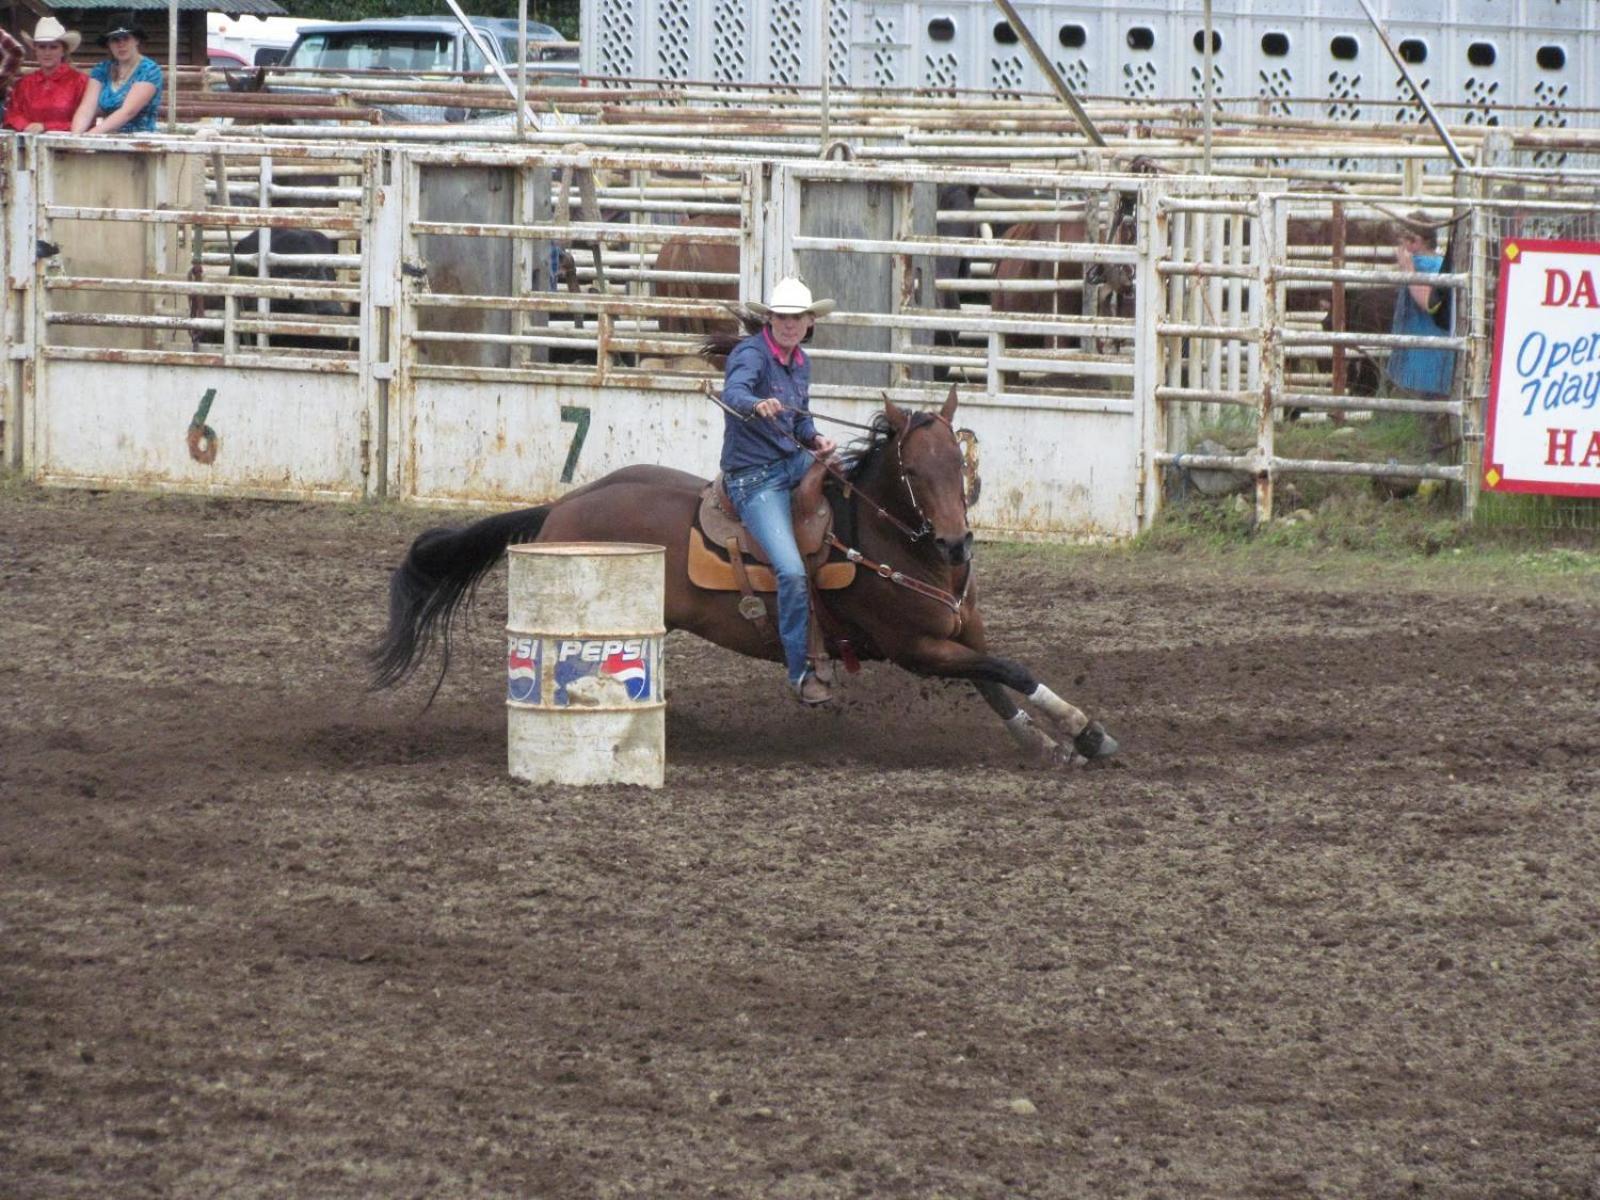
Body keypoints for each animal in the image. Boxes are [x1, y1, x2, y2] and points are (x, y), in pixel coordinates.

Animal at [371, 390, 1126, 774]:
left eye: (960, 463)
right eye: (914, 470)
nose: (956, 543)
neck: (887, 540)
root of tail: (561, 506)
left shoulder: (958, 636)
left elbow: (994, 678)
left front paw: (1045, 740)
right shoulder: (915, 650)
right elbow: (1010, 669)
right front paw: (1082, 730)